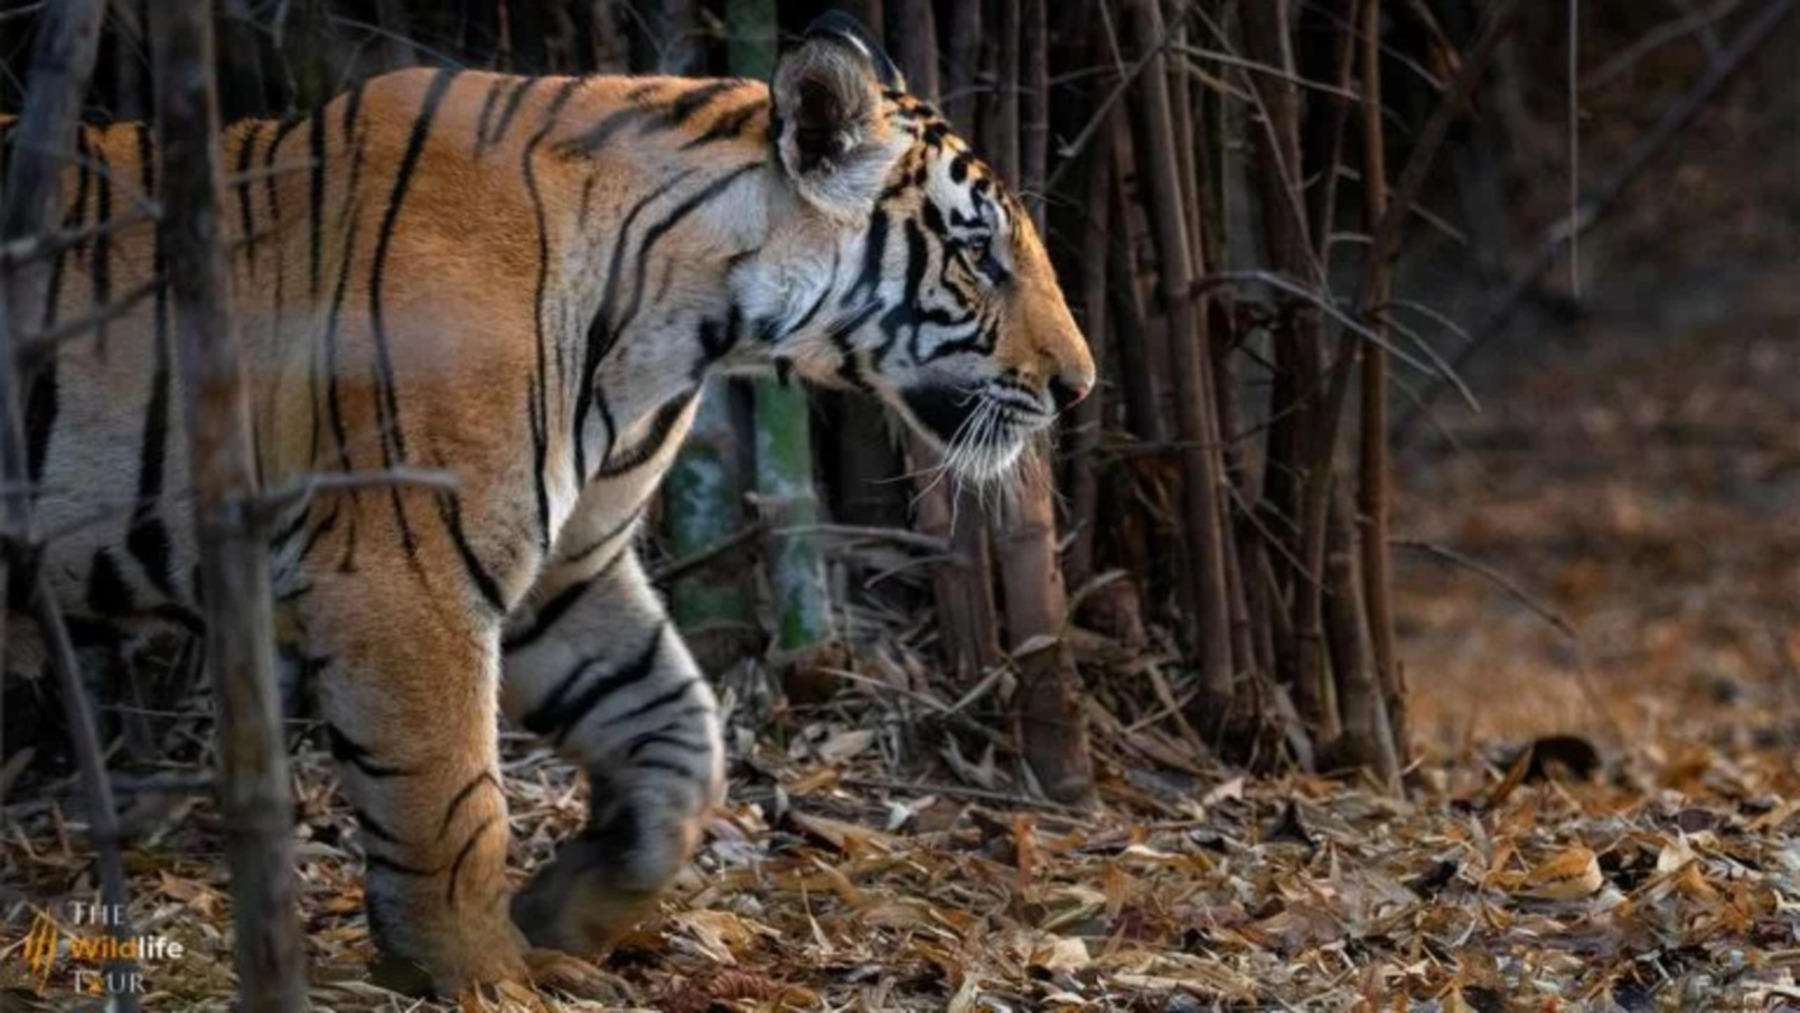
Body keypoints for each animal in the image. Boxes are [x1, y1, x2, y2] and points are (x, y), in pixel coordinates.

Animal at [0, 9, 1087, 1000]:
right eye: (979, 254)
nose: (1079, 386)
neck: (681, 324)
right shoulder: (409, 570)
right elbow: (451, 802)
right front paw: (481, 973)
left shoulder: (570, 568)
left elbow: (679, 735)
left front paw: (571, 909)